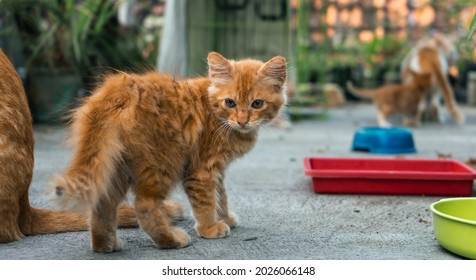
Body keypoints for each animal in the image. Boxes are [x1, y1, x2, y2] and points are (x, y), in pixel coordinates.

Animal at [52, 52, 286, 252]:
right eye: (230, 102)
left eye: (257, 104)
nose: (242, 121)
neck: (216, 115)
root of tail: (119, 89)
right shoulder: (202, 170)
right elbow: (206, 201)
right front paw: (210, 227)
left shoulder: (217, 170)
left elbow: (221, 196)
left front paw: (225, 217)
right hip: (164, 163)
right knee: (144, 206)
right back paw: (172, 239)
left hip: (116, 166)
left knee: (103, 205)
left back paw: (106, 246)